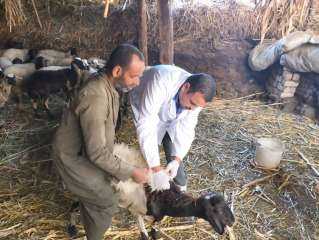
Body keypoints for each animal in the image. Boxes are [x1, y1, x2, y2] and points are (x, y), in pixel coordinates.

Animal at [67, 143, 236, 239]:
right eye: (216, 210)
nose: (232, 221)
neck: (166, 198)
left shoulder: (157, 216)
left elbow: (155, 232)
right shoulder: (137, 209)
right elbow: (145, 235)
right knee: (75, 204)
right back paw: (72, 229)